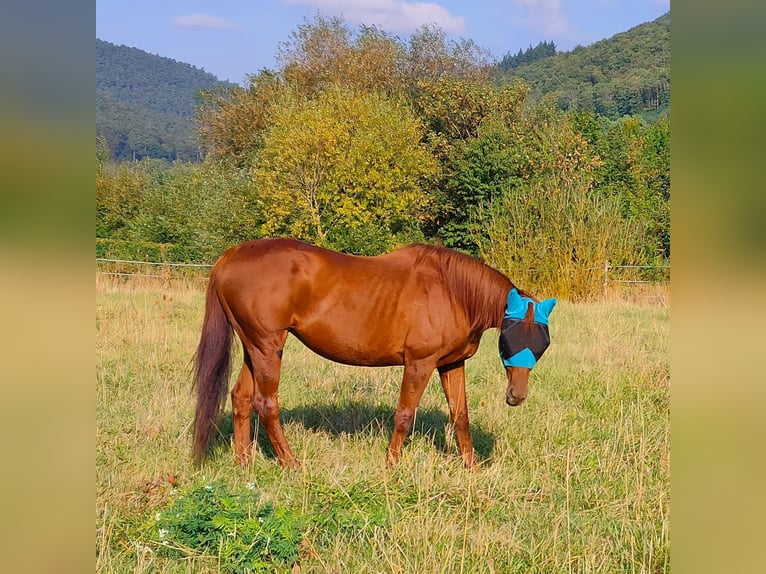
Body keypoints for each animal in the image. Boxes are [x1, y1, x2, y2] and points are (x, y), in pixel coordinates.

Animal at [190, 238, 560, 468]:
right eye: (509, 340)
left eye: (541, 345)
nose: (517, 396)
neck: (452, 291)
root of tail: (231, 256)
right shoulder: (419, 363)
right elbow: (404, 415)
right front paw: (390, 465)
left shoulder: (452, 364)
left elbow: (460, 416)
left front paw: (471, 467)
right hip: (268, 347)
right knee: (265, 403)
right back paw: (290, 463)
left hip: (255, 347)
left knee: (240, 397)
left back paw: (243, 462)